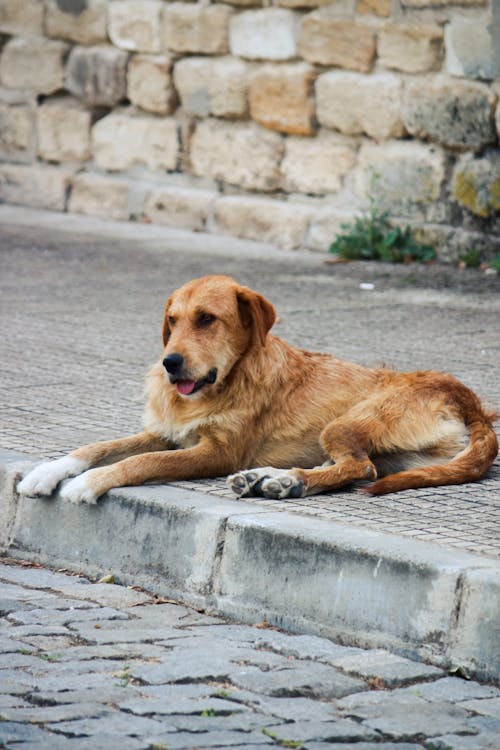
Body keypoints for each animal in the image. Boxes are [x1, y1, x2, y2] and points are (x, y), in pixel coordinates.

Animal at [17, 276, 498, 506]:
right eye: (172, 321)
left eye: (207, 319)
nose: (170, 363)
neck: (227, 380)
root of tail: (470, 400)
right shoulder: (167, 433)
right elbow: (100, 446)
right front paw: (51, 470)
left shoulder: (217, 452)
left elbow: (140, 461)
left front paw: (90, 482)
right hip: (399, 452)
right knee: (357, 466)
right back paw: (272, 479)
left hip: (347, 423)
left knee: (360, 468)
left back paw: (287, 483)